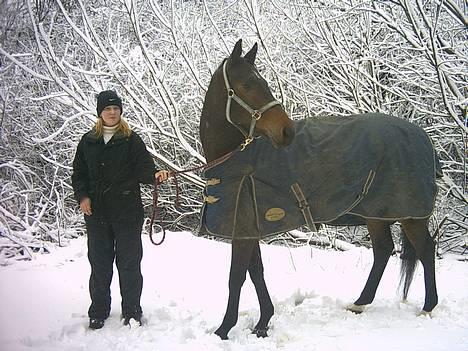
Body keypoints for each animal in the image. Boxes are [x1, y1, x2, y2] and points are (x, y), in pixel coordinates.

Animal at [198, 39, 438, 340]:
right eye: (246, 85)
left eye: (262, 82)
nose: (287, 131)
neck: (239, 160)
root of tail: (422, 136)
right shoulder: (246, 227)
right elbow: (256, 272)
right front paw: (263, 322)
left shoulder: (242, 229)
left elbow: (237, 277)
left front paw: (224, 330)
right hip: (377, 214)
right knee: (384, 250)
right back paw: (360, 303)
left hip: (410, 215)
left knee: (425, 250)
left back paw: (428, 308)